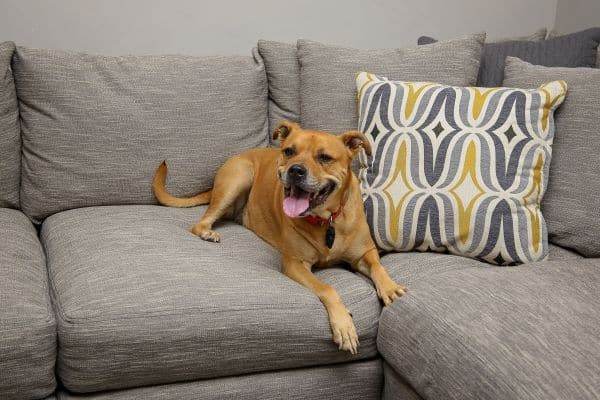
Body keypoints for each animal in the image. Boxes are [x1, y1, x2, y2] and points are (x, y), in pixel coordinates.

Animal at [154, 121, 408, 354]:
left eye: (325, 157)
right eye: (289, 151)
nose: (295, 170)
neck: (326, 220)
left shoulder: (364, 253)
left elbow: (378, 267)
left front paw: (390, 288)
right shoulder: (295, 264)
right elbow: (328, 289)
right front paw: (344, 325)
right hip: (238, 178)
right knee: (200, 222)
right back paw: (207, 232)